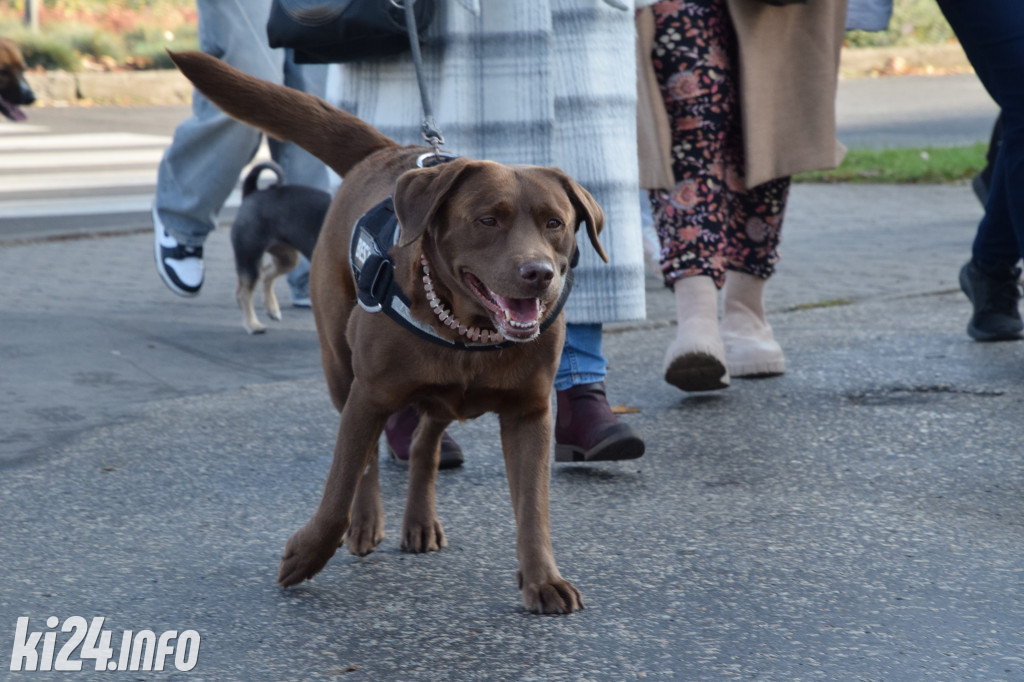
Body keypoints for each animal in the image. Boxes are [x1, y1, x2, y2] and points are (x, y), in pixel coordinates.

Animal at [230, 160, 329, 333]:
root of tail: (252, 193)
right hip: (250, 256)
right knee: (243, 292)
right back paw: (253, 325)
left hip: (287, 258)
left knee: (267, 273)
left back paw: (272, 309)